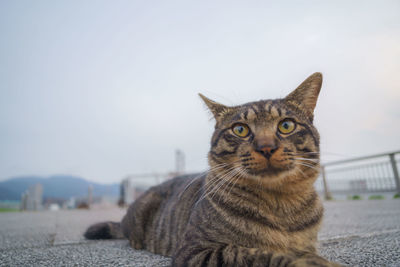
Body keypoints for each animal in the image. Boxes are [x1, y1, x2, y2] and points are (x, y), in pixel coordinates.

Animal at [84, 72, 340, 266]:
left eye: (286, 125)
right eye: (240, 129)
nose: (266, 147)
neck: (281, 204)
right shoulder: (194, 251)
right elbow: (251, 252)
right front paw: (311, 262)